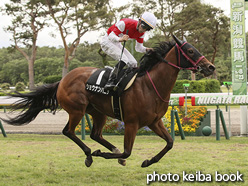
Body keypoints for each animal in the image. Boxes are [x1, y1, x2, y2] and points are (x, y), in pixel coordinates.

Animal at [1, 35, 215, 167]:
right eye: (190, 50)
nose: (210, 67)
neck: (150, 86)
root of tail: (62, 80)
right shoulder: (131, 123)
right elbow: (128, 152)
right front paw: (103, 155)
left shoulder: (154, 121)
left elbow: (170, 143)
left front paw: (148, 161)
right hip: (77, 110)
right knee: (68, 131)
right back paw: (90, 154)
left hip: (98, 112)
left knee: (95, 134)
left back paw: (108, 149)